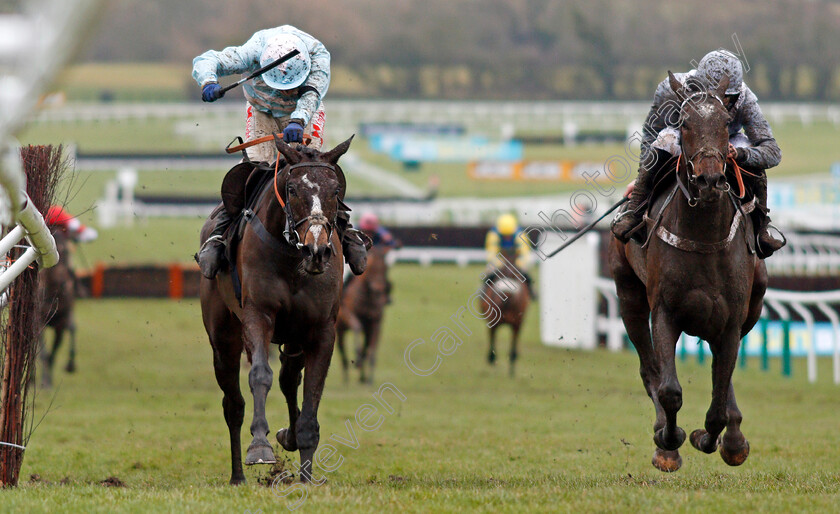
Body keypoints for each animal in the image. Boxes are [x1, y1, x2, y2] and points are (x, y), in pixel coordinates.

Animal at [202, 134, 352, 482]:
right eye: (292, 188)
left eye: (335, 190)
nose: (317, 251)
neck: (291, 257)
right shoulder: (258, 314)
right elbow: (260, 375)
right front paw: (260, 446)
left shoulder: (321, 330)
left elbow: (311, 393)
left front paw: (306, 475)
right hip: (223, 338)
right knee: (233, 404)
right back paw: (237, 476)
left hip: (294, 336)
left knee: (288, 378)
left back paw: (291, 437)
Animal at [336, 242, 392, 382]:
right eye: (371, 266)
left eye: (385, 268)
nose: (378, 289)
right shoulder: (348, 314)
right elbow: (357, 326)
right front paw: (357, 355)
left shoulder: (376, 323)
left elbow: (371, 351)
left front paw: (369, 380)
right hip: (339, 329)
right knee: (342, 350)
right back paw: (346, 377)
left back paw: (362, 374)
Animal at [608, 73, 764, 472]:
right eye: (685, 124)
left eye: (724, 124)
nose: (709, 180)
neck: (704, 237)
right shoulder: (665, 311)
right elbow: (669, 390)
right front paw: (669, 441)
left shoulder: (730, 320)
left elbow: (718, 402)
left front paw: (714, 439)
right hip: (629, 297)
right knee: (649, 369)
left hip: (752, 304)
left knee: (723, 376)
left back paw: (733, 439)